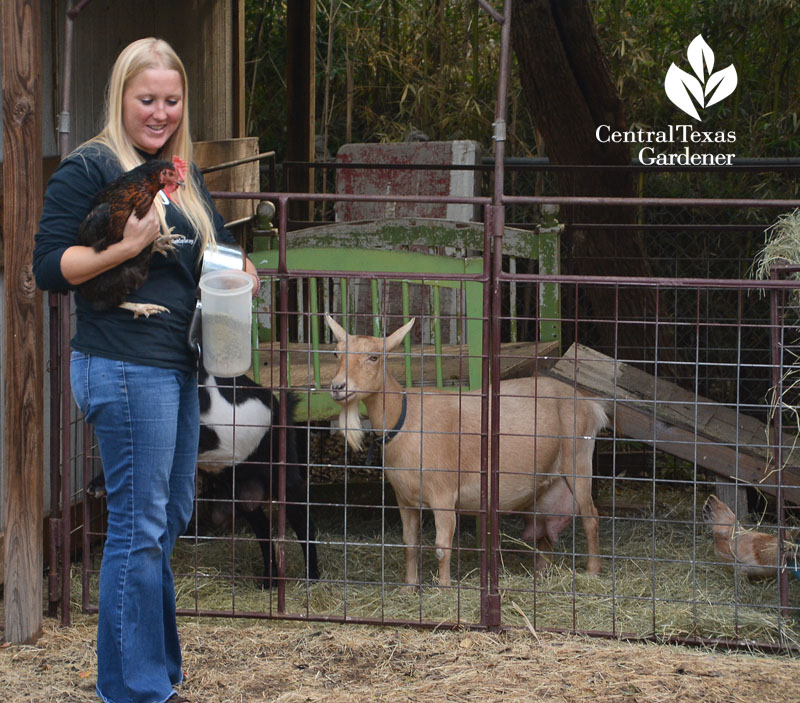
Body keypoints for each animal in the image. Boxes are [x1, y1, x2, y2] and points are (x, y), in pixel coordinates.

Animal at [324, 316, 608, 584]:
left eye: (374, 357)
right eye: (336, 353)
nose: (337, 387)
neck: (405, 420)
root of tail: (590, 405)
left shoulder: (443, 495)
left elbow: (442, 548)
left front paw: (444, 589)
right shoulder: (404, 499)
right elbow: (409, 545)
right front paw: (409, 587)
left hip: (579, 461)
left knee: (591, 517)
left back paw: (592, 571)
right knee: (545, 529)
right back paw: (541, 574)